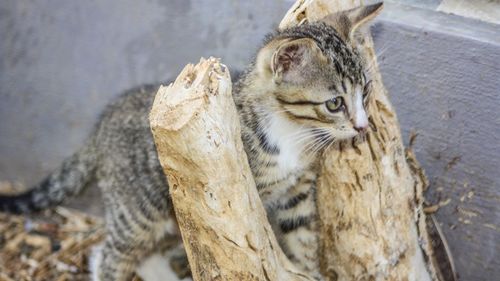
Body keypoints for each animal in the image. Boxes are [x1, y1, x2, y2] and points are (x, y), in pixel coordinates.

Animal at [0, 2, 382, 280]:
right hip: (138, 211)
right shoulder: (244, 195)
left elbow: (303, 240)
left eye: (365, 91)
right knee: (107, 255)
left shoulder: (297, 193)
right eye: (334, 103)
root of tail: (102, 124)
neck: (289, 131)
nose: (362, 127)